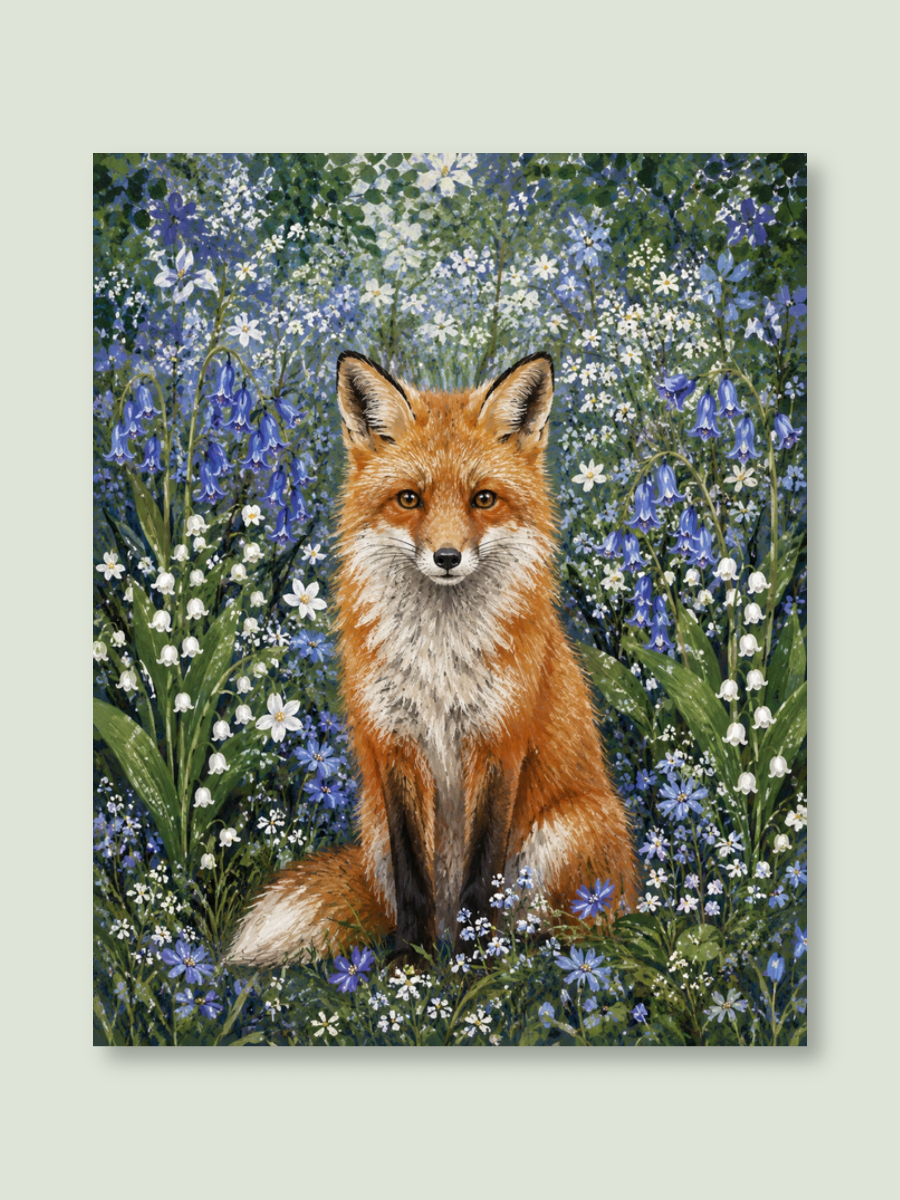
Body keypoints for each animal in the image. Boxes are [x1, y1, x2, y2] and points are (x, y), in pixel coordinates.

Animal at [226, 349, 639, 968]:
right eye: (409, 499)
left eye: (483, 499)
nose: (447, 557)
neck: (440, 660)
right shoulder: (394, 743)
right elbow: (412, 876)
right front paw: (408, 966)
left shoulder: (500, 742)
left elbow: (481, 875)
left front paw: (473, 966)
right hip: (374, 829)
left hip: (568, 829)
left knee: (573, 924)